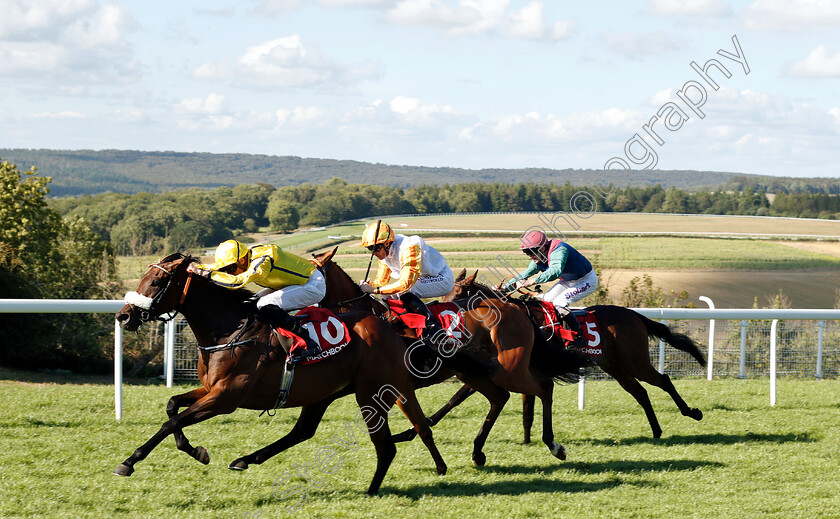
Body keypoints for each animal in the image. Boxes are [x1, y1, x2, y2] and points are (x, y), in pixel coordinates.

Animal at [116, 254, 452, 498]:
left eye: (157, 280)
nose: (123, 315)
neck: (229, 331)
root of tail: (390, 328)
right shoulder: (210, 390)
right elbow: (173, 406)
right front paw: (196, 450)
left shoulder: (226, 398)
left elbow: (171, 421)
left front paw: (129, 462)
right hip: (329, 393)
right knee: (305, 431)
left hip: (371, 393)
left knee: (386, 445)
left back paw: (372, 490)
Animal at [308, 250, 592, 466]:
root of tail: (515, 309)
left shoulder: (397, 387)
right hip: (479, 372)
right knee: (501, 398)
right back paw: (478, 451)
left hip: (508, 370)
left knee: (543, 387)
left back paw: (553, 445)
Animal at [442, 270, 704, 440]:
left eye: (456, 297)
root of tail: (635, 315)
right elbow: (460, 398)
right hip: (614, 366)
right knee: (640, 392)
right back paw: (656, 431)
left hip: (635, 361)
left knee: (663, 380)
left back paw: (691, 412)